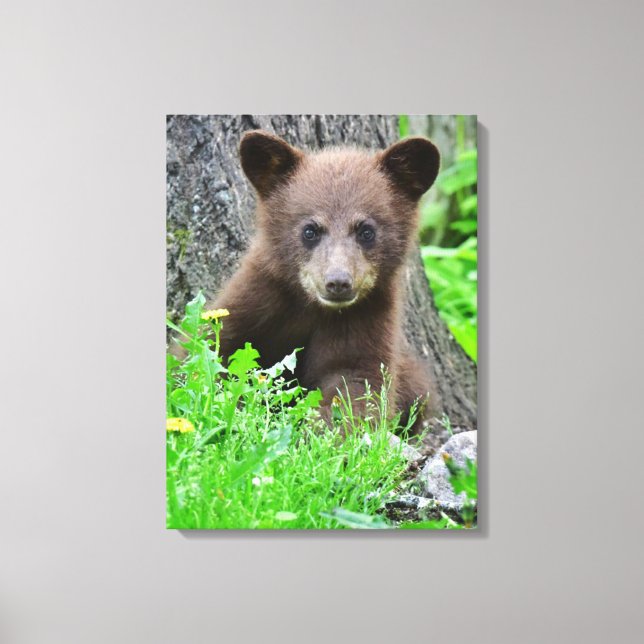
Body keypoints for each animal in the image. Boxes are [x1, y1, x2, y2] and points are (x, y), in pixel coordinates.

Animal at [208, 130, 441, 431]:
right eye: (310, 230)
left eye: (366, 231)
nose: (338, 282)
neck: (312, 307)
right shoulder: (257, 298)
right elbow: (216, 348)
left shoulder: (366, 317)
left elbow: (356, 381)